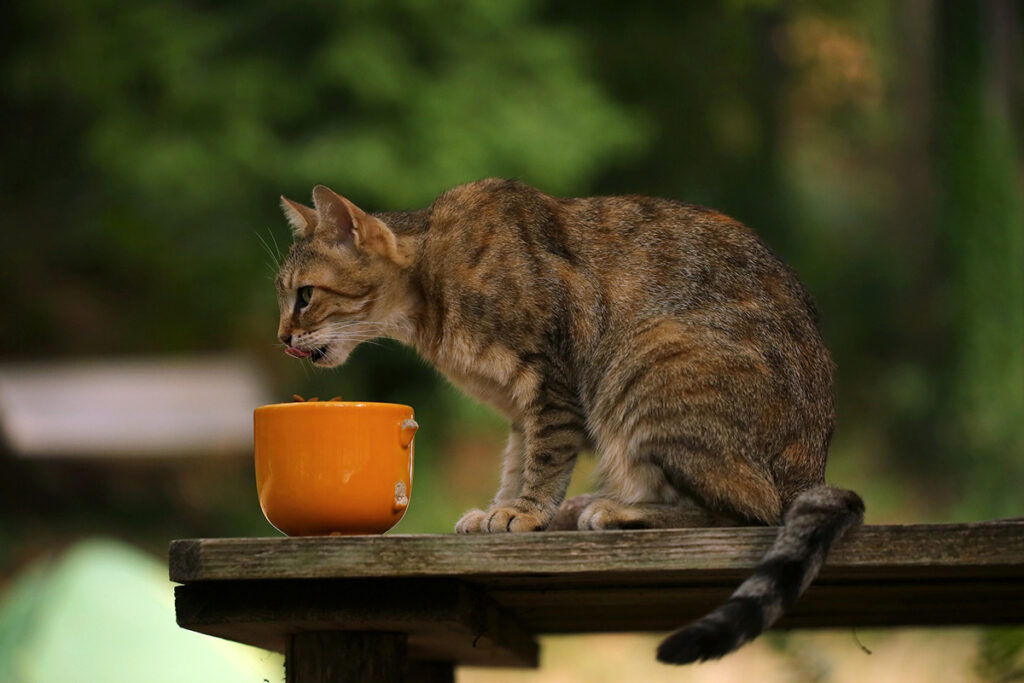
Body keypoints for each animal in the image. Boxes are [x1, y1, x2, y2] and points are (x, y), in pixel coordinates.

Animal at [274, 179, 864, 663]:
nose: (281, 338)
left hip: (649, 359)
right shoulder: (521, 408)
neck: (430, 289)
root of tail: (811, 471)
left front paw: (525, 512)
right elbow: (517, 462)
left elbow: (545, 458)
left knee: (750, 510)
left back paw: (619, 512)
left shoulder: (550, 381)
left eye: (305, 296)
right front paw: (503, 509)